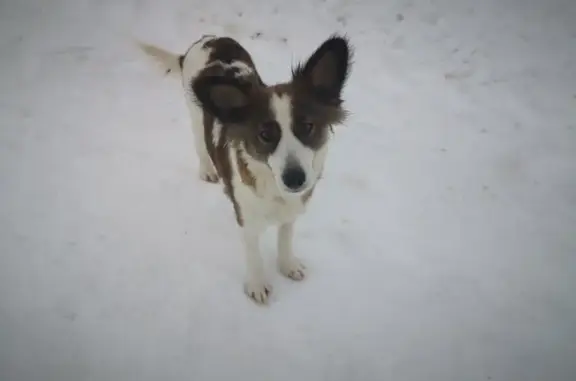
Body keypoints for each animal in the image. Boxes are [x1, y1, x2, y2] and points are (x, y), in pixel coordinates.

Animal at [140, 34, 352, 304]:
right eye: (265, 135)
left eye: (307, 126)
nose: (295, 179)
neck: (273, 188)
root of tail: (208, 38)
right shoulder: (247, 220)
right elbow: (253, 253)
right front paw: (257, 284)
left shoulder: (290, 213)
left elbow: (285, 238)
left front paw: (288, 265)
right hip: (195, 115)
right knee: (199, 144)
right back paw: (207, 170)